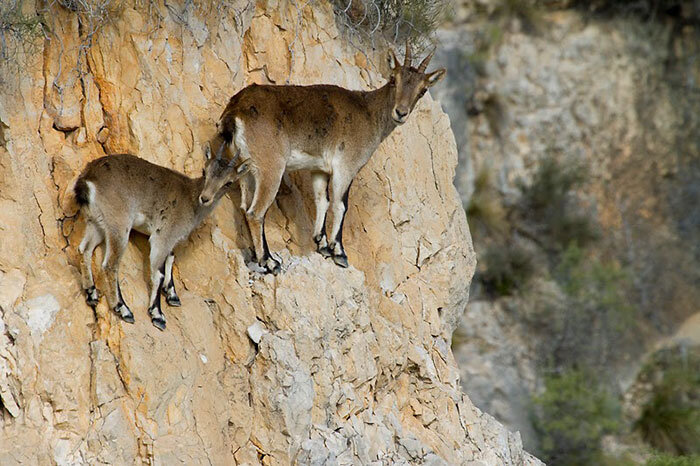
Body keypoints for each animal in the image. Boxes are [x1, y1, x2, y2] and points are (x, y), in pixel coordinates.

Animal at [73, 146, 247, 332]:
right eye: (204, 171)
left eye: (228, 183)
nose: (205, 198)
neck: (191, 199)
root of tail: (88, 178)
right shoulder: (161, 237)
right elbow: (159, 273)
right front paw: (157, 314)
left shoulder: (170, 240)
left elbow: (170, 259)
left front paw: (172, 295)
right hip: (119, 225)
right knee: (110, 264)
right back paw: (123, 309)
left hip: (96, 222)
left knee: (84, 249)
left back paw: (91, 293)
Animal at [216, 42, 446, 274]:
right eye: (393, 79)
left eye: (423, 90)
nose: (401, 113)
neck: (368, 112)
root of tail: (235, 111)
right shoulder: (346, 167)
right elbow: (340, 204)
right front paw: (340, 253)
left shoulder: (319, 169)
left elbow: (322, 201)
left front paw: (322, 244)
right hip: (271, 168)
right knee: (256, 212)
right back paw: (270, 261)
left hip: (246, 168)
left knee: (245, 207)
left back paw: (260, 256)